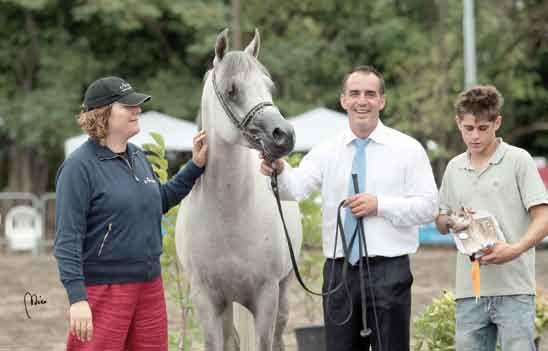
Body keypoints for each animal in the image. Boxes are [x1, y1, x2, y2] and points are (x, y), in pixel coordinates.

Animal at [177, 29, 302, 351]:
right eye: (232, 90)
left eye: (269, 86)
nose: (284, 135)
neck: (229, 213)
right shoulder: (206, 300)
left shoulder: (267, 296)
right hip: (227, 305)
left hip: (283, 292)